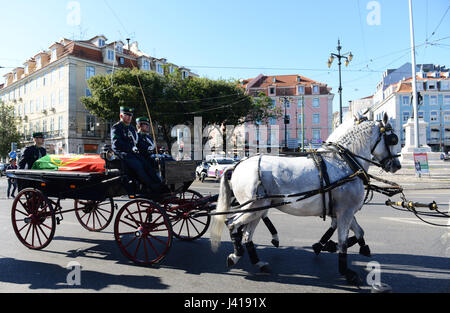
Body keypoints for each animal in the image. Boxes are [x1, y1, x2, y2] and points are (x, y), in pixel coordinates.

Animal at [208, 112, 400, 282]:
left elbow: (359, 232)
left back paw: (257, 262)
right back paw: (236, 254)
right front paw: (346, 271)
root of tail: (238, 165)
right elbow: (343, 242)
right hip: (253, 207)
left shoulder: (344, 211)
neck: (343, 162)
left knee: (247, 234)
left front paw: (339, 246)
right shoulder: (345, 212)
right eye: (393, 139)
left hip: (257, 209)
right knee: (232, 223)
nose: (396, 165)